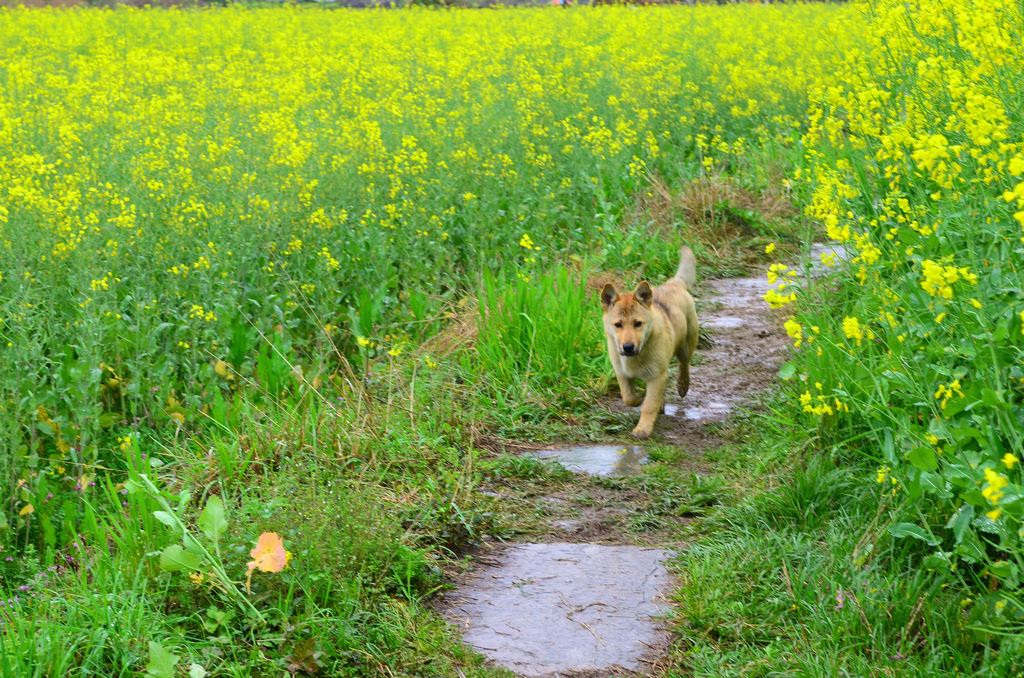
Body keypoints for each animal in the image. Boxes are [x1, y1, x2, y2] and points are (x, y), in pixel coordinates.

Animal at [598, 246, 700, 438]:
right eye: (618, 325)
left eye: (638, 323)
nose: (628, 347)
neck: (636, 356)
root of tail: (674, 283)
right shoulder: (621, 373)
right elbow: (628, 397)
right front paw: (638, 398)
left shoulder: (656, 376)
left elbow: (649, 404)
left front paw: (643, 429)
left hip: (687, 344)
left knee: (684, 365)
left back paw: (682, 385)